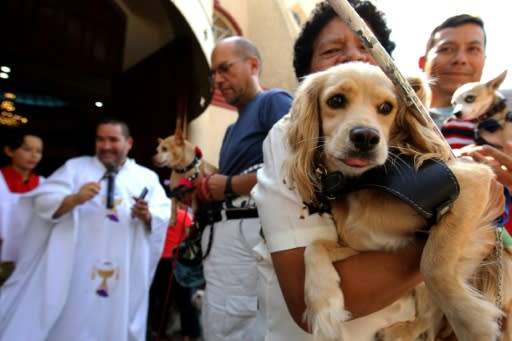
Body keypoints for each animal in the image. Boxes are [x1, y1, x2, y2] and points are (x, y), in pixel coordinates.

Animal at [286, 62, 510, 338]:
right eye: (335, 100)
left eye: (386, 107)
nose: (366, 137)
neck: (365, 184)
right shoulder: (365, 246)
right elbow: (314, 247)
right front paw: (324, 304)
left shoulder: (472, 181)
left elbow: (433, 265)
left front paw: (472, 324)